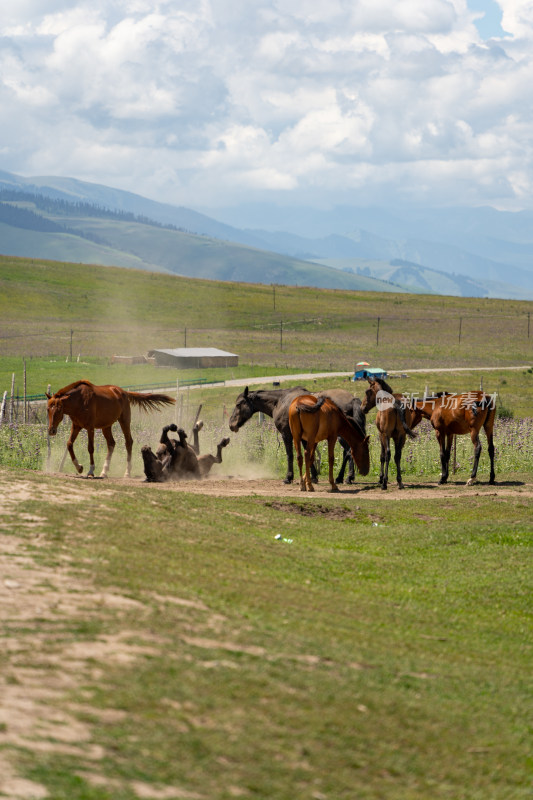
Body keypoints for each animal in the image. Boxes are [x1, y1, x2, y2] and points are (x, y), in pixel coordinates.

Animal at [46, 380, 174, 478]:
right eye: (48, 409)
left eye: (59, 409)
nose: (51, 431)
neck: (80, 400)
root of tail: (124, 392)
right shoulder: (76, 426)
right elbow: (69, 444)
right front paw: (79, 467)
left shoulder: (90, 427)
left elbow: (90, 448)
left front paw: (91, 471)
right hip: (106, 426)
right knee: (111, 444)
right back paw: (104, 472)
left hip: (124, 421)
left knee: (128, 442)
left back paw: (127, 472)